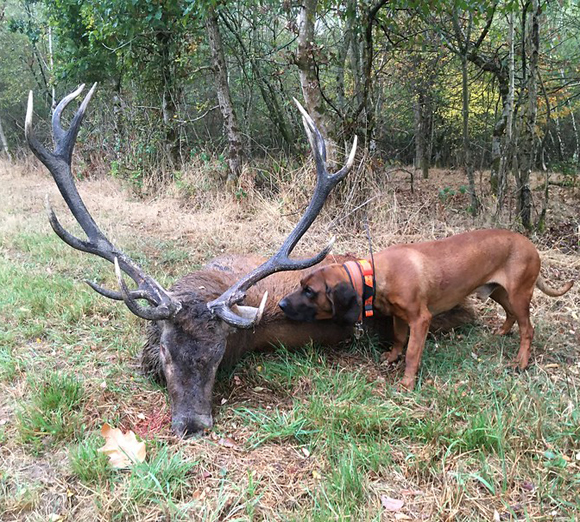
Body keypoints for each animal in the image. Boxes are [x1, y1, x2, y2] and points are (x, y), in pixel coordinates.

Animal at [278, 230, 572, 388]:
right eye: (301, 284)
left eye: (309, 291)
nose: (281, 304)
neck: (376, 275)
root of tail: (531, 246)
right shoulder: (399, 316)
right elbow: (398, 339)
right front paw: (391, 357)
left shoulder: (420, 319)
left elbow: (411, 352)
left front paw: (407, 382)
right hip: (500, 292)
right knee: (511, 316)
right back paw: (501, 332)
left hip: (519, 294)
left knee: (528, 329)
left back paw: (521, 362)